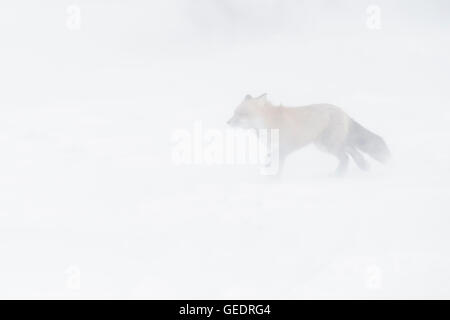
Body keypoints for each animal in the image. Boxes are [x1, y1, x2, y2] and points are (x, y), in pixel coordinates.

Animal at [227, 94, 388, 176]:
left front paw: (274, 180)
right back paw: (363, 168)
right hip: (328, 145)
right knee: (354, 154)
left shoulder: (283, 149)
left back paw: (337, 175)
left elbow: (278, 167)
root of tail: (343, 112)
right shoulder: (273, 148)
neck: (268, 123)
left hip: (328, 145)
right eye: (234, 113)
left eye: (242, 114)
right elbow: (271, 162)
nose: (227, 122)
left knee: (346, 158)